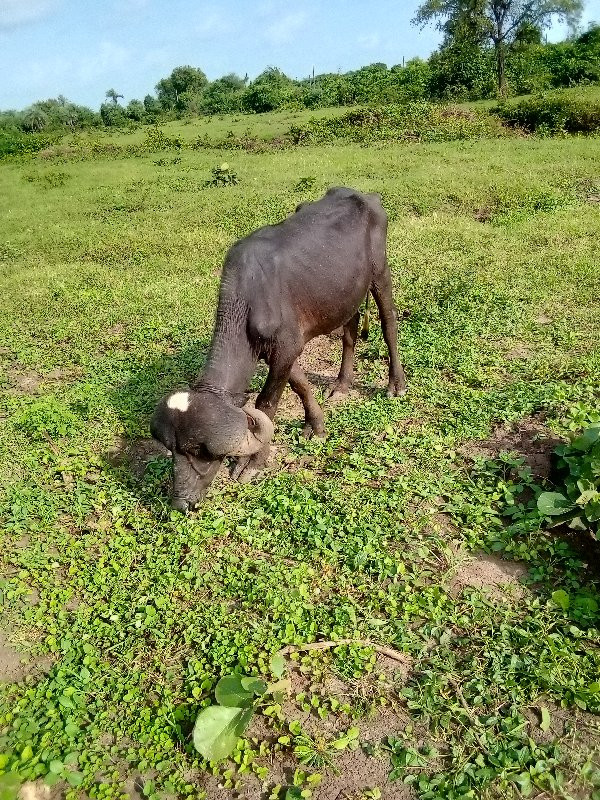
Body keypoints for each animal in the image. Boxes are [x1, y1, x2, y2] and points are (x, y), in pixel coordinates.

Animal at [152, 189, 406, 506]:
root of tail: (366, 196)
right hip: (345, 293)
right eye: (173, 451)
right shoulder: (283, 351)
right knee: (351, 328)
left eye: (202, 453)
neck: (249, 300)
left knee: (389, 322)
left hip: (380, 272)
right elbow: (301, 385)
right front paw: (316, 425)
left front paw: (253, 463)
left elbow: (267, 404)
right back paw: (341, 385)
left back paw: (396, 383)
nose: (181, 501)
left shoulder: (284, 350)